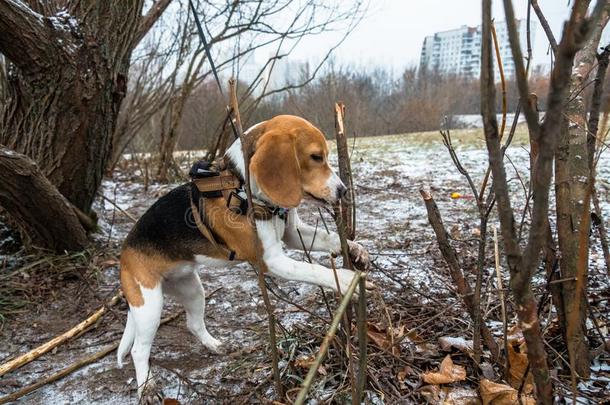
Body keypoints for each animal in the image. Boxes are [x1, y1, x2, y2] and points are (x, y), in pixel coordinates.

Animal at [116, 114, 368, 398]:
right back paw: (146, 386)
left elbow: (329, 238)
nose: (343, 190)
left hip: (192, 290)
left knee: (194, 324)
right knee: (138, 350)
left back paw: (214, 345)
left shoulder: (293, 233)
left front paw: (354, 248)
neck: (241, 187)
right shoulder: (271, 260)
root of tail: (125, 253)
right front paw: (345, 280)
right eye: (316, 157)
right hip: (149, 306)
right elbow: (314, 270)